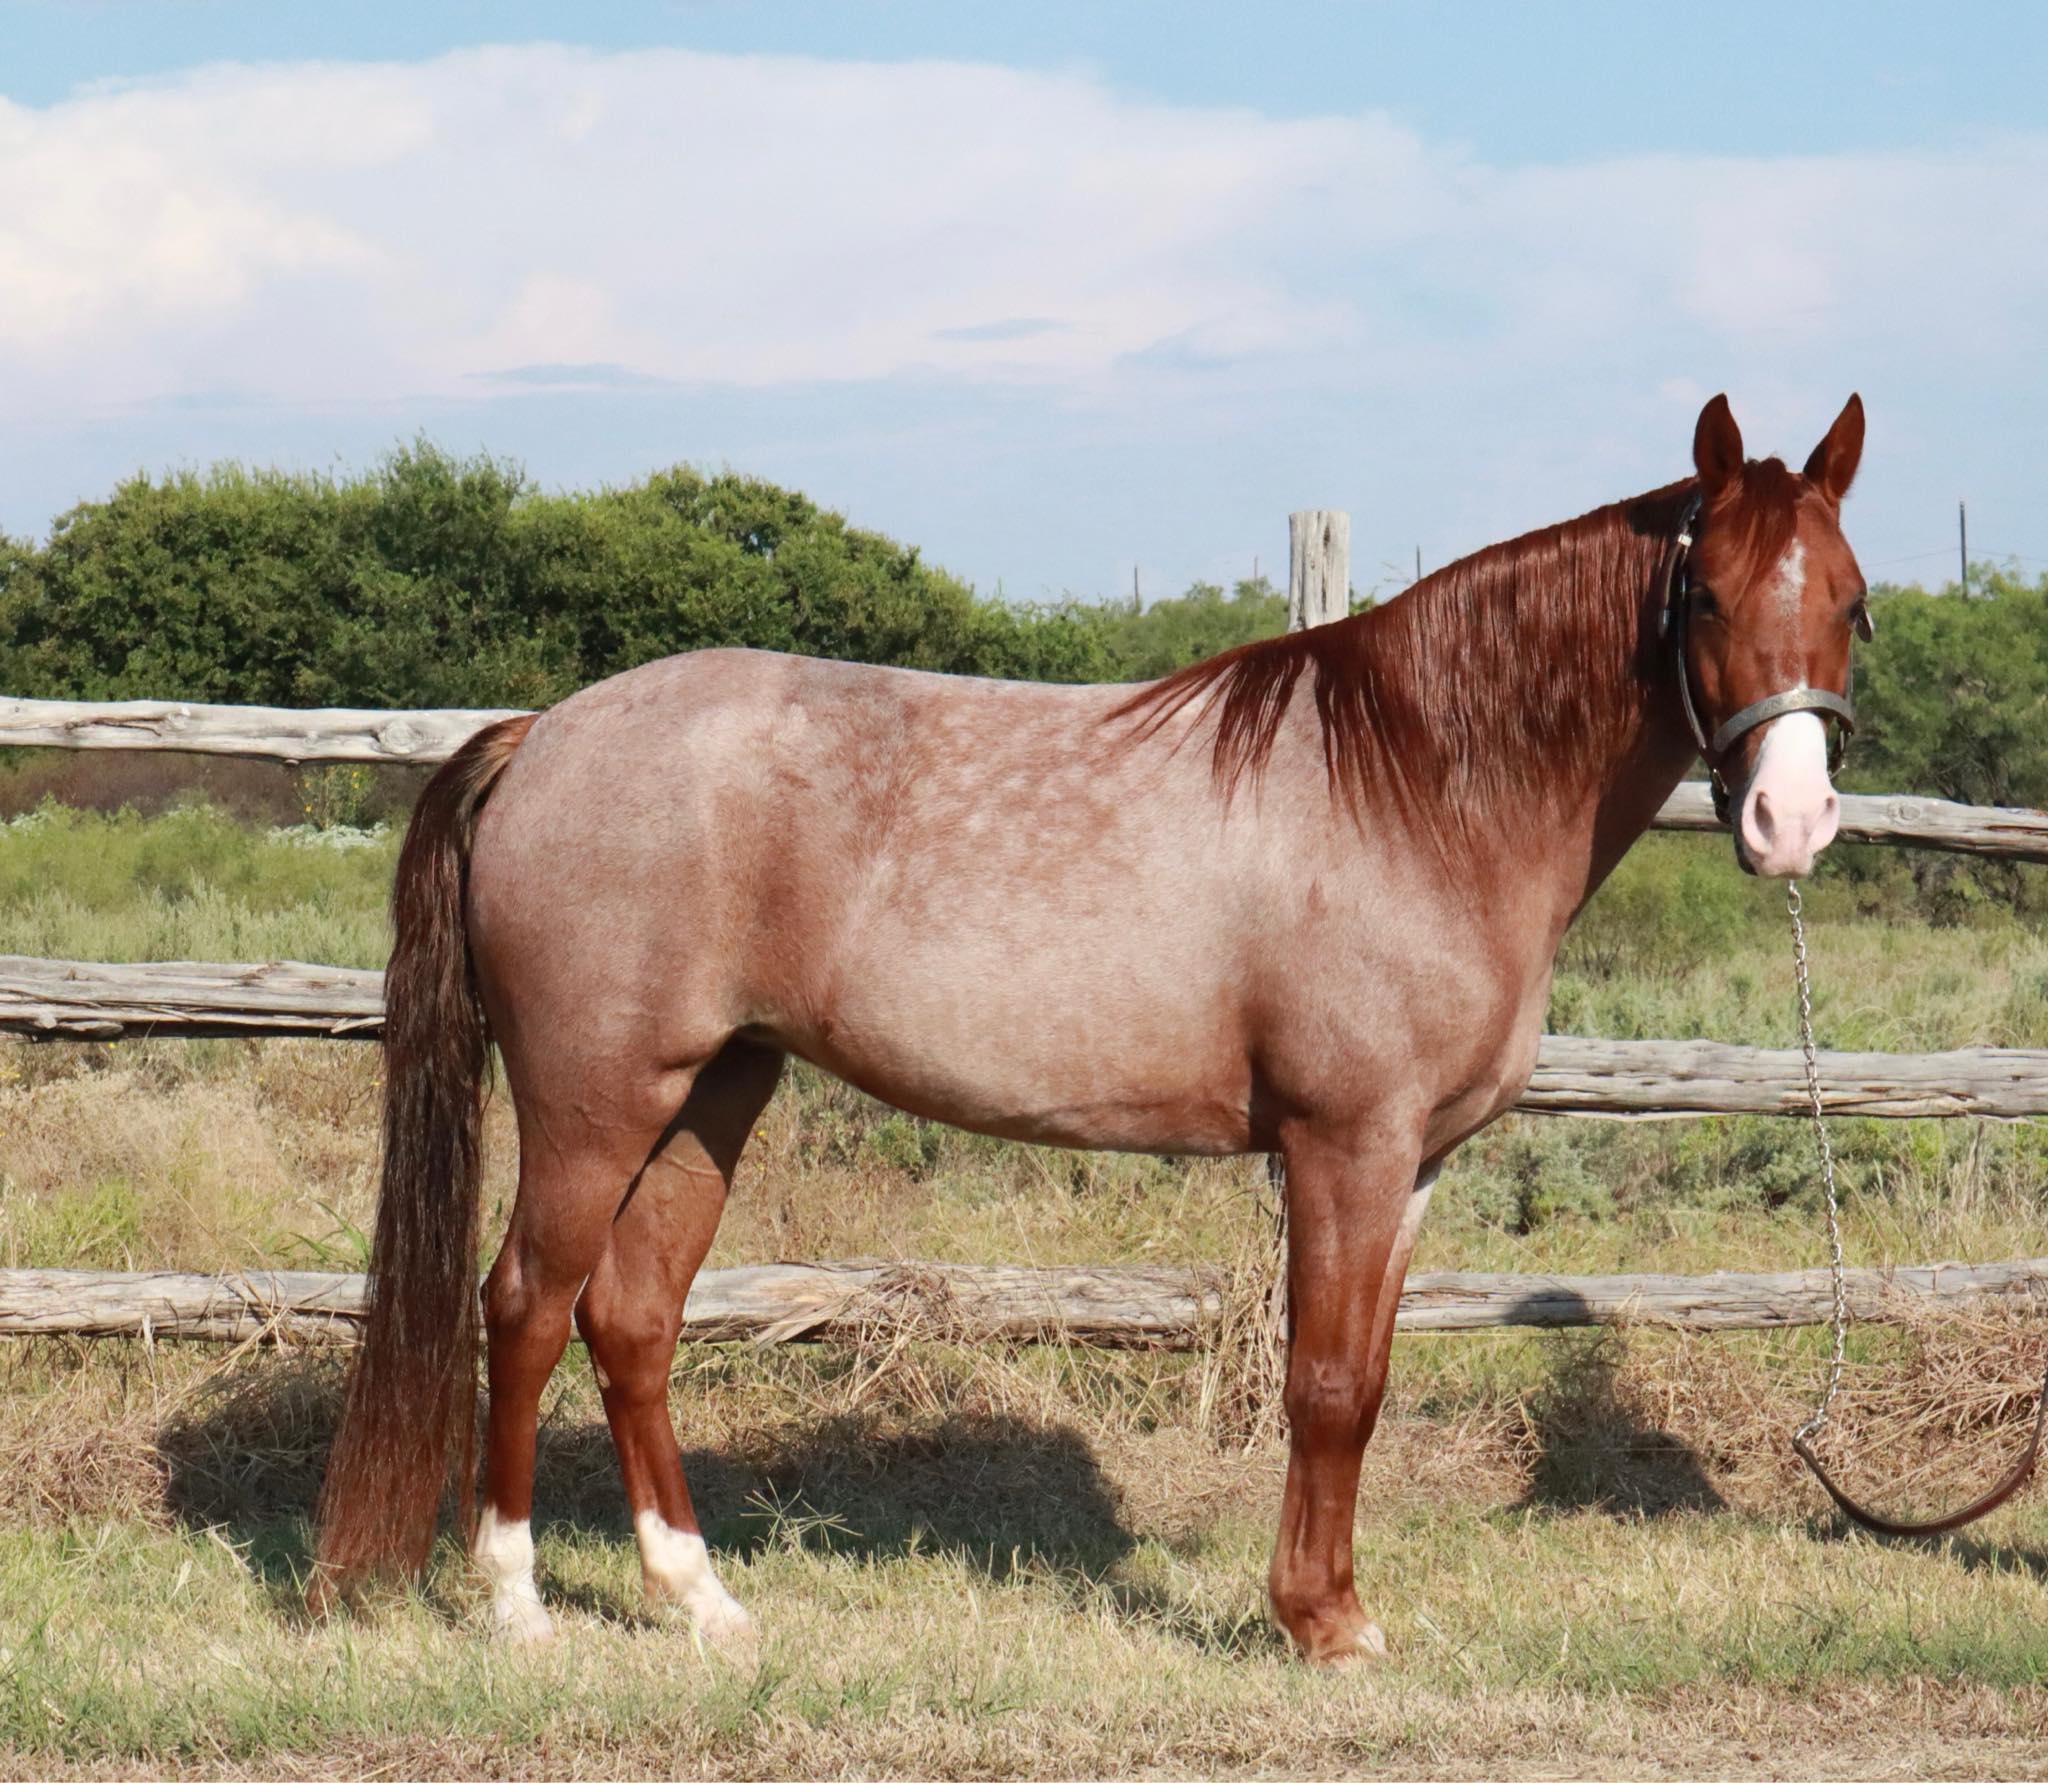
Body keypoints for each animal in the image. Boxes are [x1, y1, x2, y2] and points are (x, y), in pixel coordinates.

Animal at [311, 391, 1868, 1662]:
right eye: (1704, 594)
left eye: (1852, 600)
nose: (1791, 821)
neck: (1416, 787)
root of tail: (545, 734)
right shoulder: (1344, 1147)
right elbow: (1323, 1383)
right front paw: (1318, 1625)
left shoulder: (1411, 1164)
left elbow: (1363, 1378)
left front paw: (1335, 1606)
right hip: (593, 1097)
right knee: (526, 1303)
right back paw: (516, 1600)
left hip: (712, 1089)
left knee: (631, 1317)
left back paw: (699, 1599)